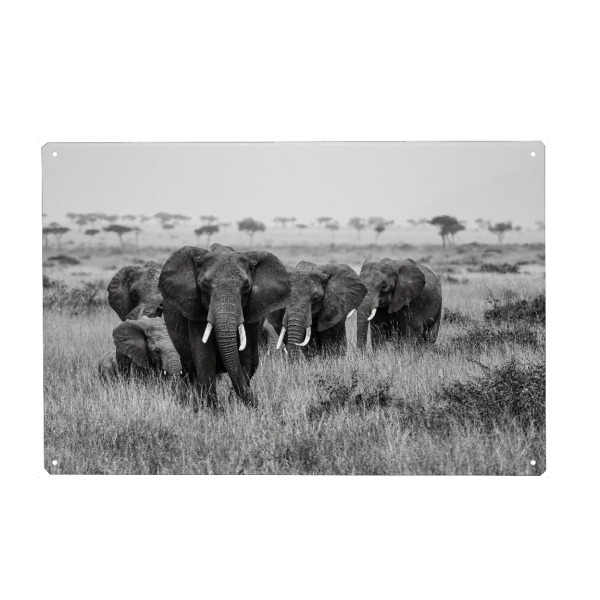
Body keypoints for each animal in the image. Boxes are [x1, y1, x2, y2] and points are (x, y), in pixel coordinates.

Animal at [158, 243, 291, 408]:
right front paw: (214, 410)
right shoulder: (195, 310)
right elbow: (204, 356)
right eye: (205, 286)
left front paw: (234, 407)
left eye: (246, 287)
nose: (260, 405)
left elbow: (244, 358)